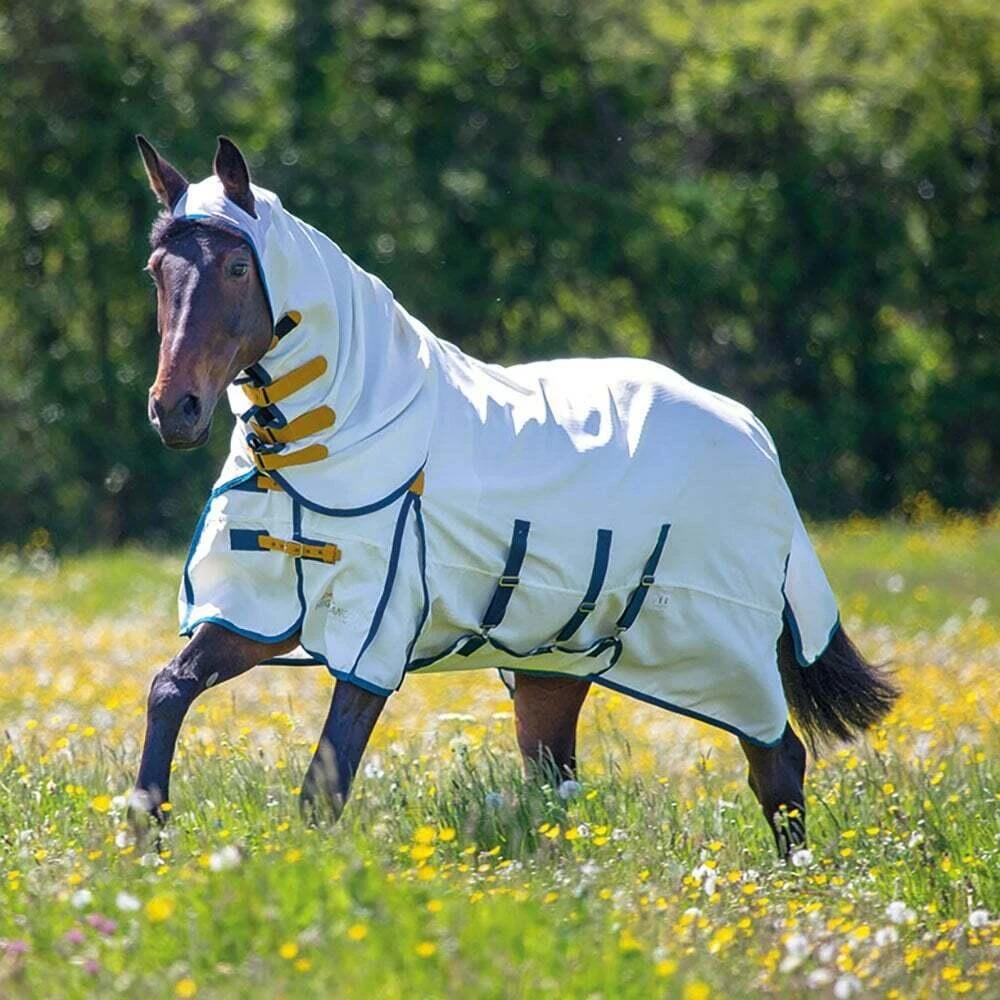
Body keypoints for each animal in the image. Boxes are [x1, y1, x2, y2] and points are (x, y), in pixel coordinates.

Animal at [129, 135, 898, 858]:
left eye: (237, 268)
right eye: (156, 272)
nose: (174, 411)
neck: (337, 432)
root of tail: (750, 430)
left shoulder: (372, 628)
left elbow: (326, 782)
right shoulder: (258, 612)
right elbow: (170, 688)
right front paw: (145, 835)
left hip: (723, 654)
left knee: (778, 759)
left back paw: (792, 880)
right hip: (556, 666)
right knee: (558, 777)